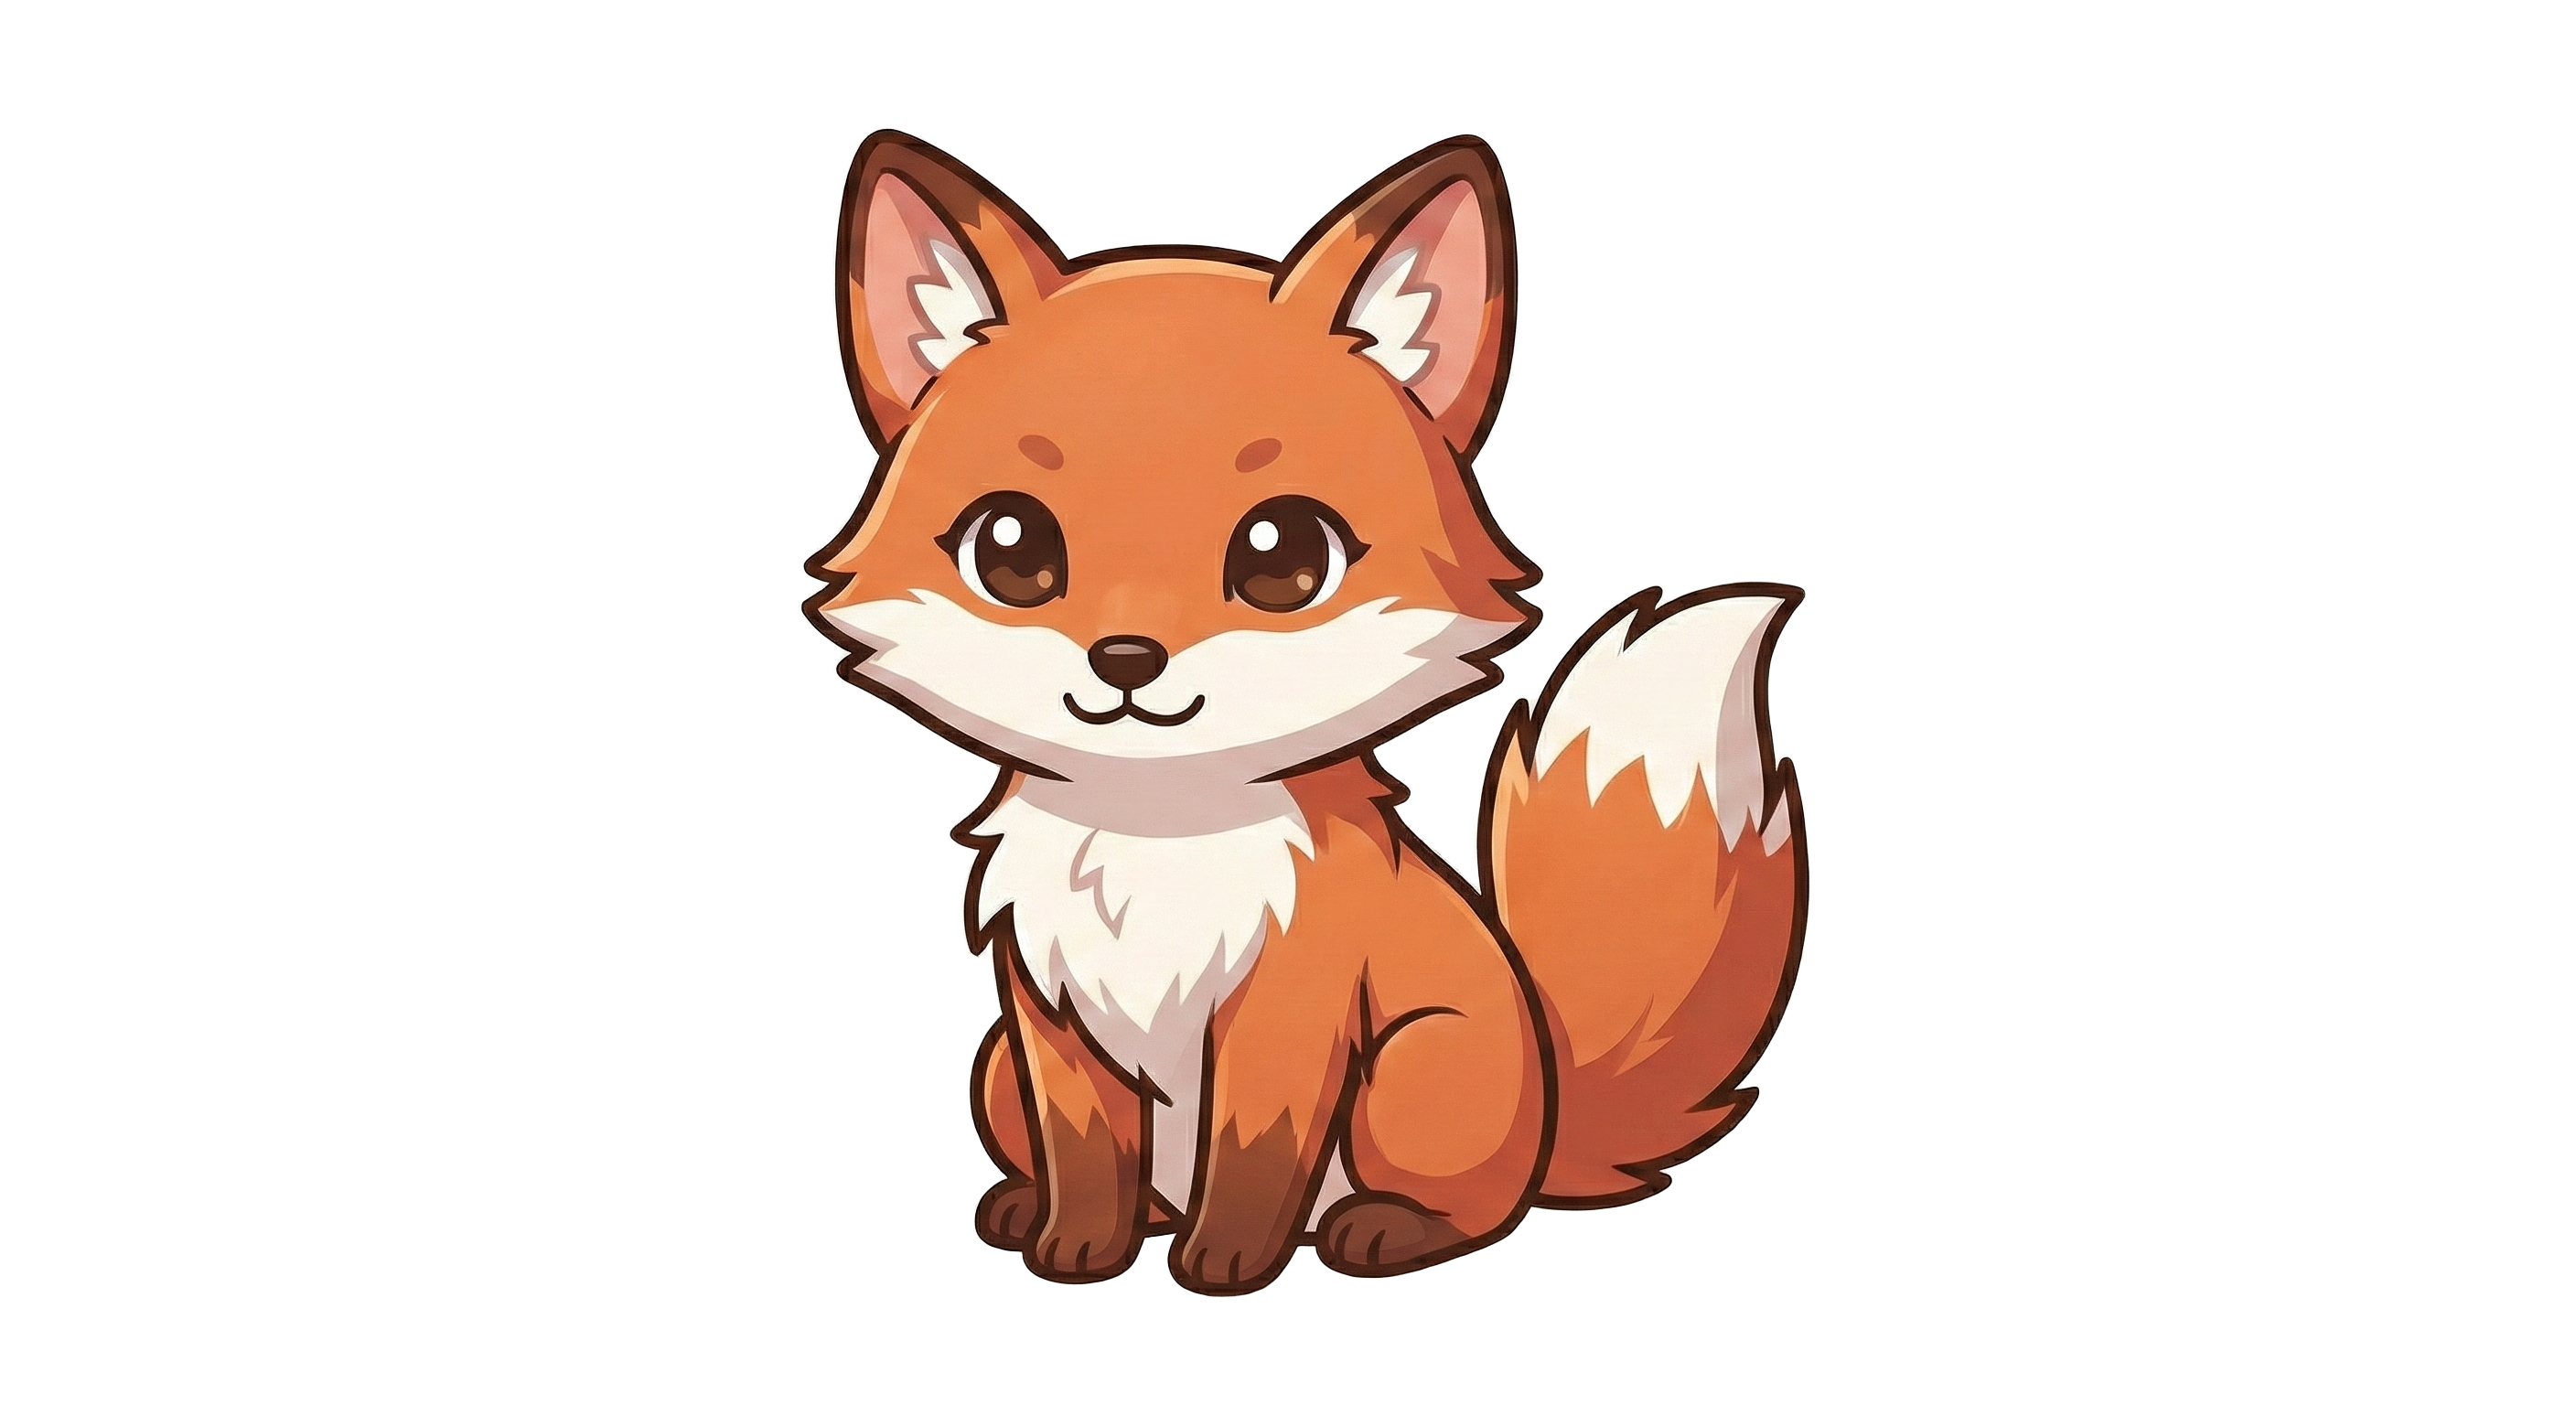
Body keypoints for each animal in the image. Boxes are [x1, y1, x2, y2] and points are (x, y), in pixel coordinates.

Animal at [806, 131, 1806, 1295]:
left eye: (1283, 556)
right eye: (1009, 548)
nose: (1125, 660)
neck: (1158, 847)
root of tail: (1552, 1116)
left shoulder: (1288, 1013)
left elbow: (1253, 1156)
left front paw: (1227, 1263)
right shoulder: (1049, 1020)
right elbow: (1088, 1155)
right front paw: (1077, 1250)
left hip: (1421, 1065)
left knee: (1471, 1208)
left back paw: (1381, 1231)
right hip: (993, 1069)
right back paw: (1041, 1211)